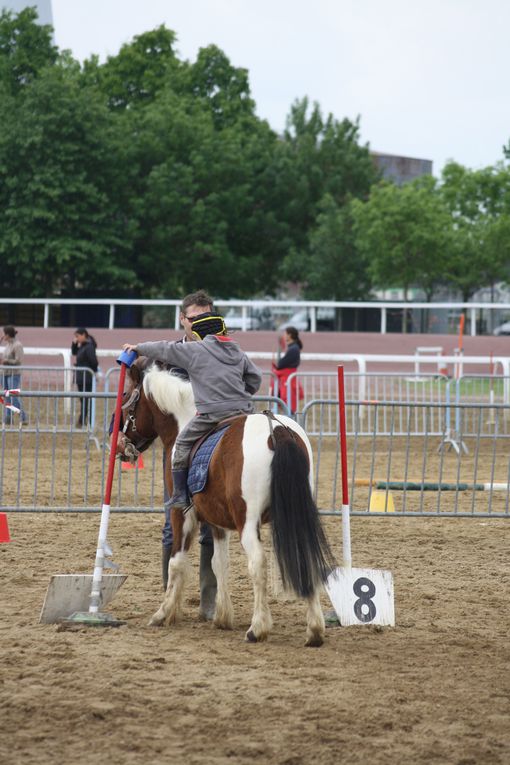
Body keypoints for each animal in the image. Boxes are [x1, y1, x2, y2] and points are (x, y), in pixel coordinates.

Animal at [117, 358, 336, 644]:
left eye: (124, 395)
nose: (120, 446)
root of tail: (277, 430)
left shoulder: (183, 515)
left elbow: (177, 562)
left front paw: (163, 614)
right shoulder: (218, 522)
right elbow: (218, 563)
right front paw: (222, 617)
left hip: (248, 522)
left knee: (257, 563)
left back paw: (257, 628)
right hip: (296, 516)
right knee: (305, 559)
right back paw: (314, 630)